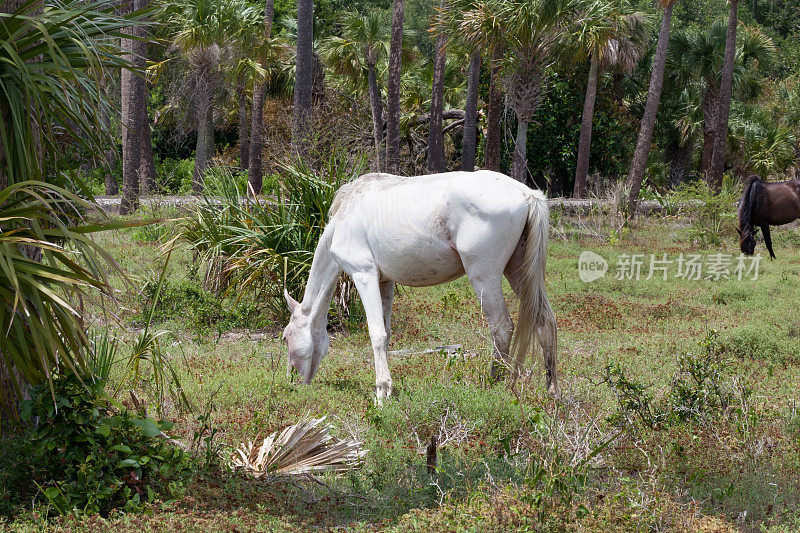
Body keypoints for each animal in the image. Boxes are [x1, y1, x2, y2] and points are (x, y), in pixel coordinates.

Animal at [282, 168, 556, 402]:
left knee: (502, 328)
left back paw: (494, 384)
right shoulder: (384, 282)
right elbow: (386, 333)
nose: (293, 379)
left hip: (484, 277)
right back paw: (552, 391)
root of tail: (526, 194)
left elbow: (376, 334)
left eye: (286, 337)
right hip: (518, 272)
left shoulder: (364, 275)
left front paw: (382, 391)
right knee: (544, 321)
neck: (345, 216)